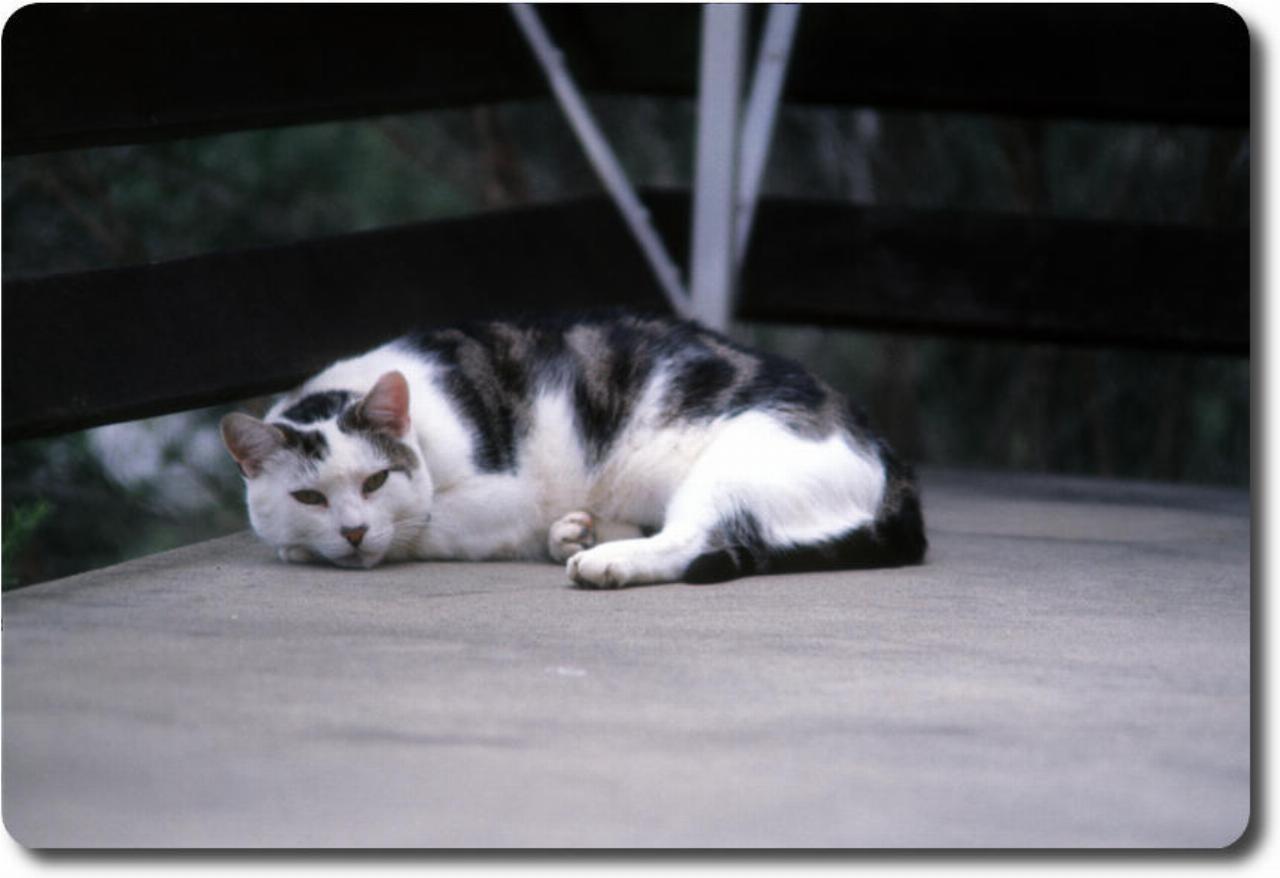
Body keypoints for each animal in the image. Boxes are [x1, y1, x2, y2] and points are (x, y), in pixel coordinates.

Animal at [217, 313, 921, 588]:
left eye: (375, 482)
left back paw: (604, 561)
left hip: (735, 461)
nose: (355, 532)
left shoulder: (502, 498)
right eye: (308, 496)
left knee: (696, 539)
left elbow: (422, 526)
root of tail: (891, 460)